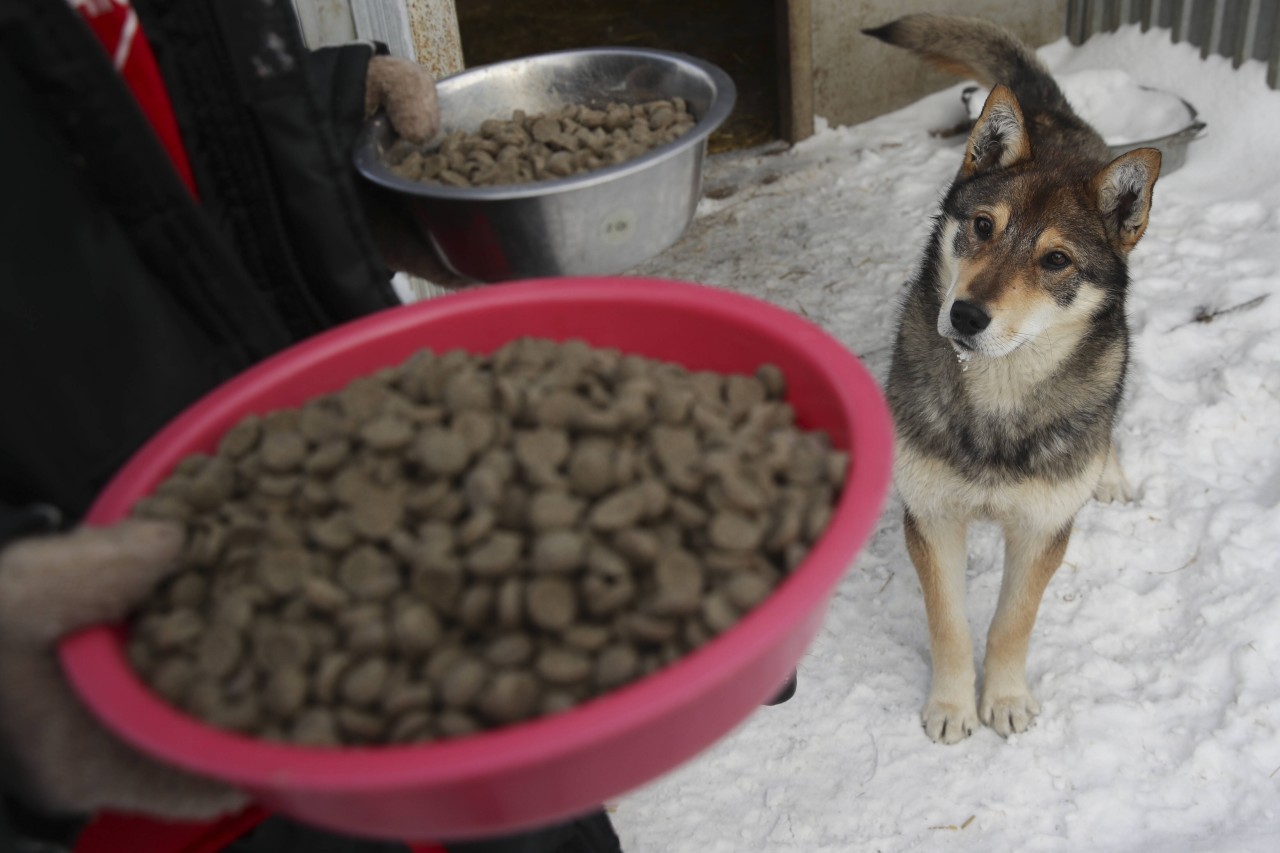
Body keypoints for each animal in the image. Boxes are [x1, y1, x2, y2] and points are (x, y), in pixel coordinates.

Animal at [870, 16, 1162, 742]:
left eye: (1055, 260)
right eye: (982, 227)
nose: (966, 315)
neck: (997, 399)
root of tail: (1049, 113)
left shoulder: (1042, 530)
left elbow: (1011, 623)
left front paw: (1003, 699)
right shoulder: (932, 517)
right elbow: (949, 624)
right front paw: (951, 707)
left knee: (1109, 407)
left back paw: (1109, 470)